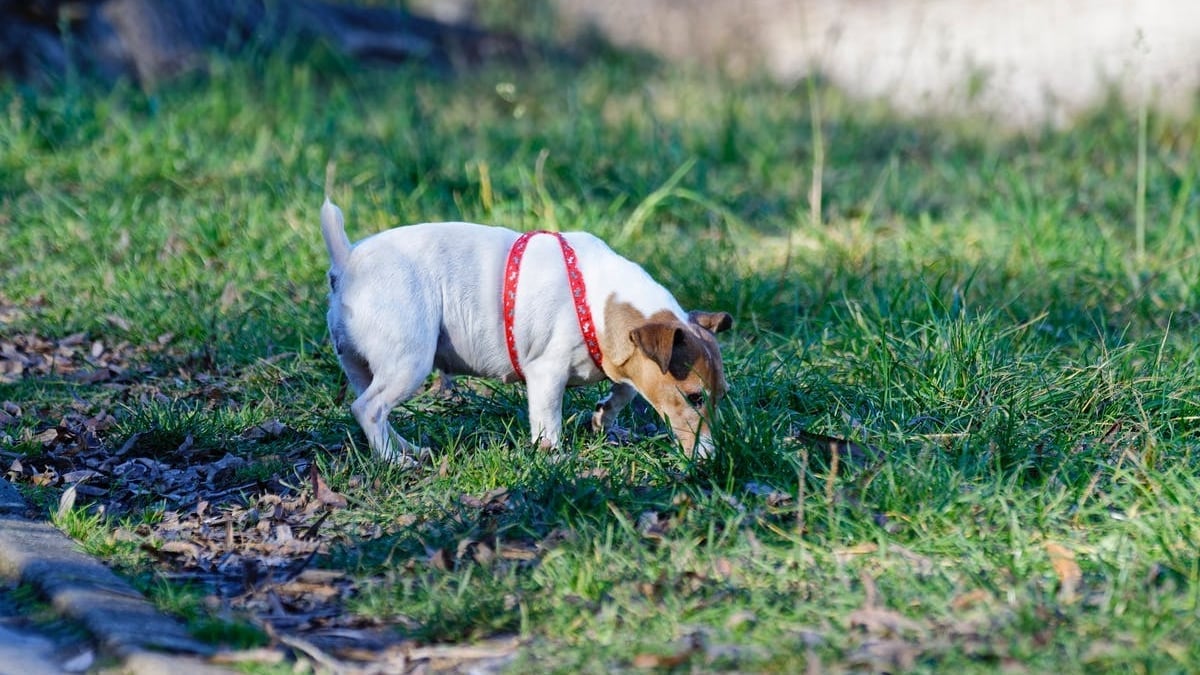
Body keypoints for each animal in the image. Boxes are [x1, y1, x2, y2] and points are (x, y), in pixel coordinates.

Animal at [319, 198, 729, 461]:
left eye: (721, 396)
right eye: (693, 397)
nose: (711, 458)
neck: (597, 300)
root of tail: (347, 260)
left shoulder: (624, 361)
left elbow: (624, 391)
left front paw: (603, 416)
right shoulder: (546, 374)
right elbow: (548, 423)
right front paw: (555, 458)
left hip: (364, 366)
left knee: (373, 407)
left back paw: (404, 448)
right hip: (409, 362)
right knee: (368, 409)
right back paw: (393, 460)